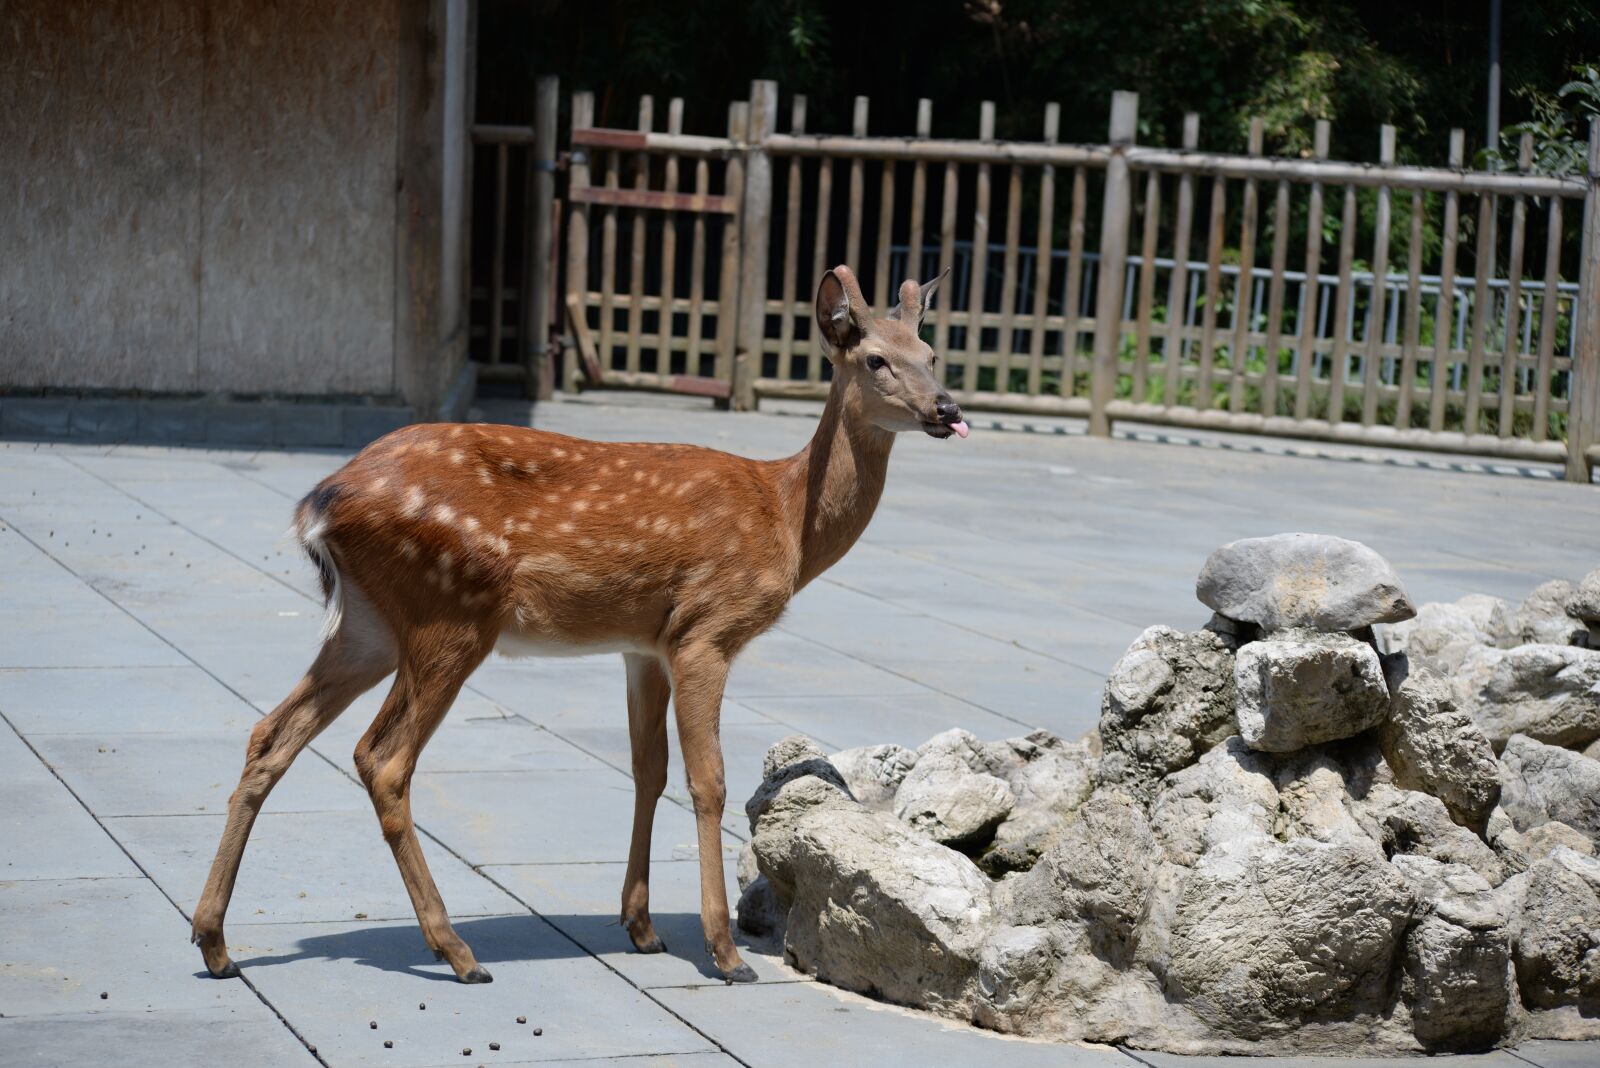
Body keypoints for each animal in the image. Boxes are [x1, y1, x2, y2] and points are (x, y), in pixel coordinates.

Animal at [187, 265, 960, 984]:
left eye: (931, 351)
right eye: (875, 359)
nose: (947, 406)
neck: (786, 517)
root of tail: (319, 504)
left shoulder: (644, 645)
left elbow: (648, 770)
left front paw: (642, 927)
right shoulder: (706, 627)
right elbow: (707, 780)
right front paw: (724, 951)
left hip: (367, 625)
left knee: (271, 735)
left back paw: (214, 941)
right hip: (450, 614)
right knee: (382, 758)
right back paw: (456, 950)